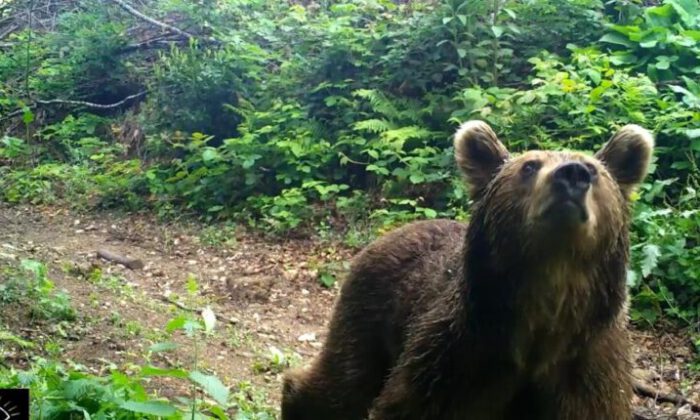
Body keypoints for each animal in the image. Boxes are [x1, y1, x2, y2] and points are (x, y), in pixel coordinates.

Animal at [282, 120, 652, 418]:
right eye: (530, 166)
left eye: (593, 169)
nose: (572, 175)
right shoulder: (461, 358)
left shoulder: (587, 369)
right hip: (370, 311)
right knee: (340, 386)